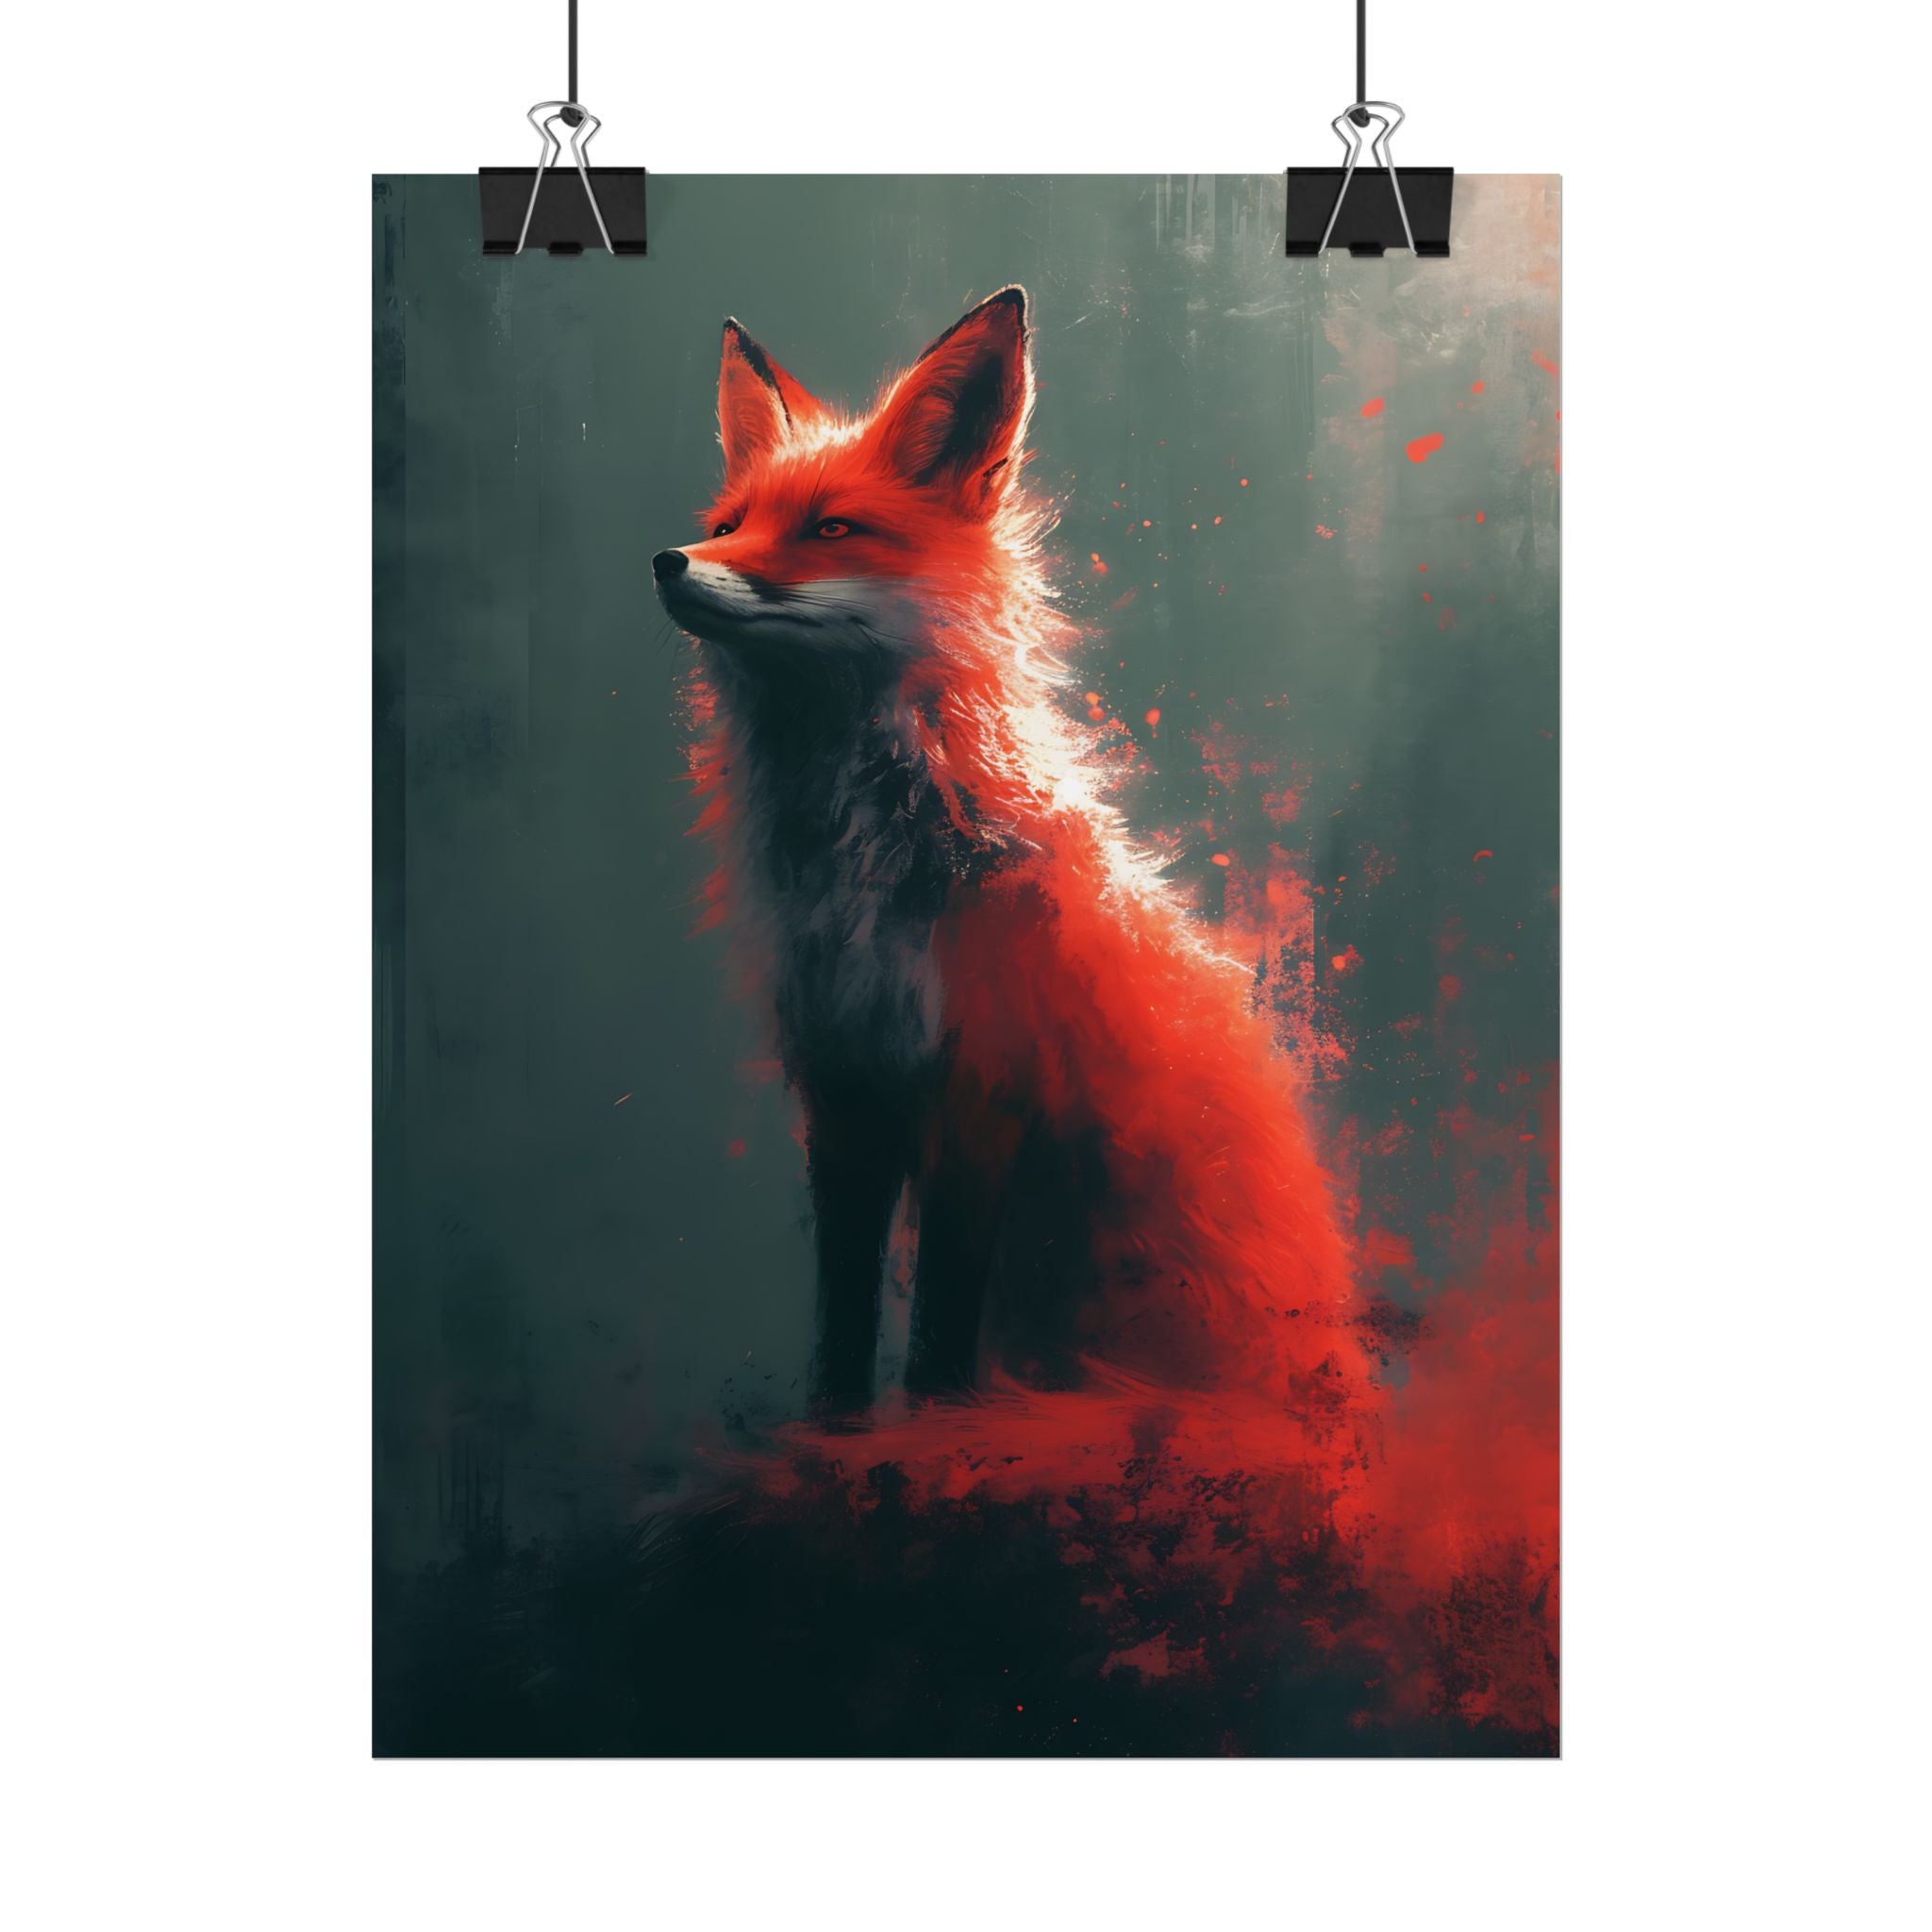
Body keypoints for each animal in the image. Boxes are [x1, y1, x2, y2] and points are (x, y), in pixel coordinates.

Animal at [653, 287, 1372, 1429]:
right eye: (729, 526)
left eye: (830, 529)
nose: (670, 561)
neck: (866, 869)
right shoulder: (842, 1086)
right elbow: (842, 1309)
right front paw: (835, 1428)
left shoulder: (981, 1086)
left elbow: (942, 1320)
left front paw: (935, 1425)